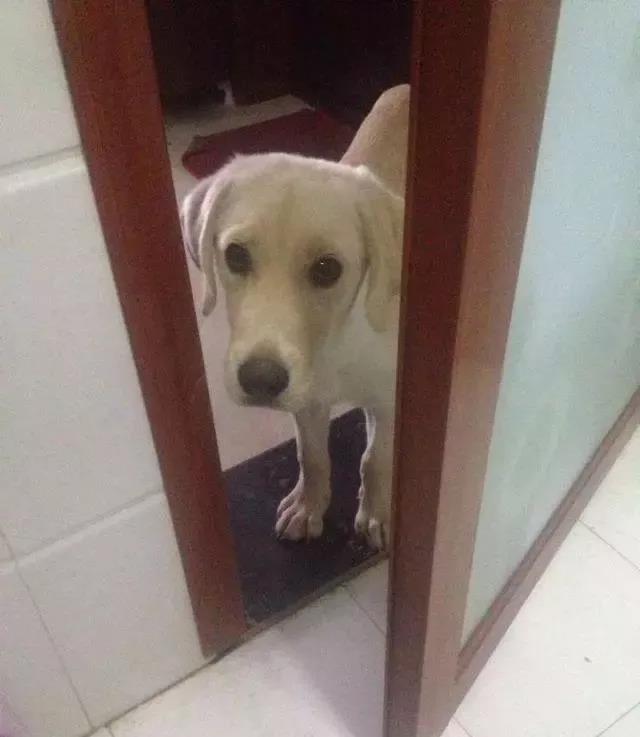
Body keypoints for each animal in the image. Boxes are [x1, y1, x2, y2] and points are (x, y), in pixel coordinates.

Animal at [181, 85, 409, 550]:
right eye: (235, 255)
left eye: (327, 269)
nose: (260, 381)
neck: (336, 342)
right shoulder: (306, 401)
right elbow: (313, 457)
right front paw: (308, 508)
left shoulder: (386, 399)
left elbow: (375, 459)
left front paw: (377, 512)